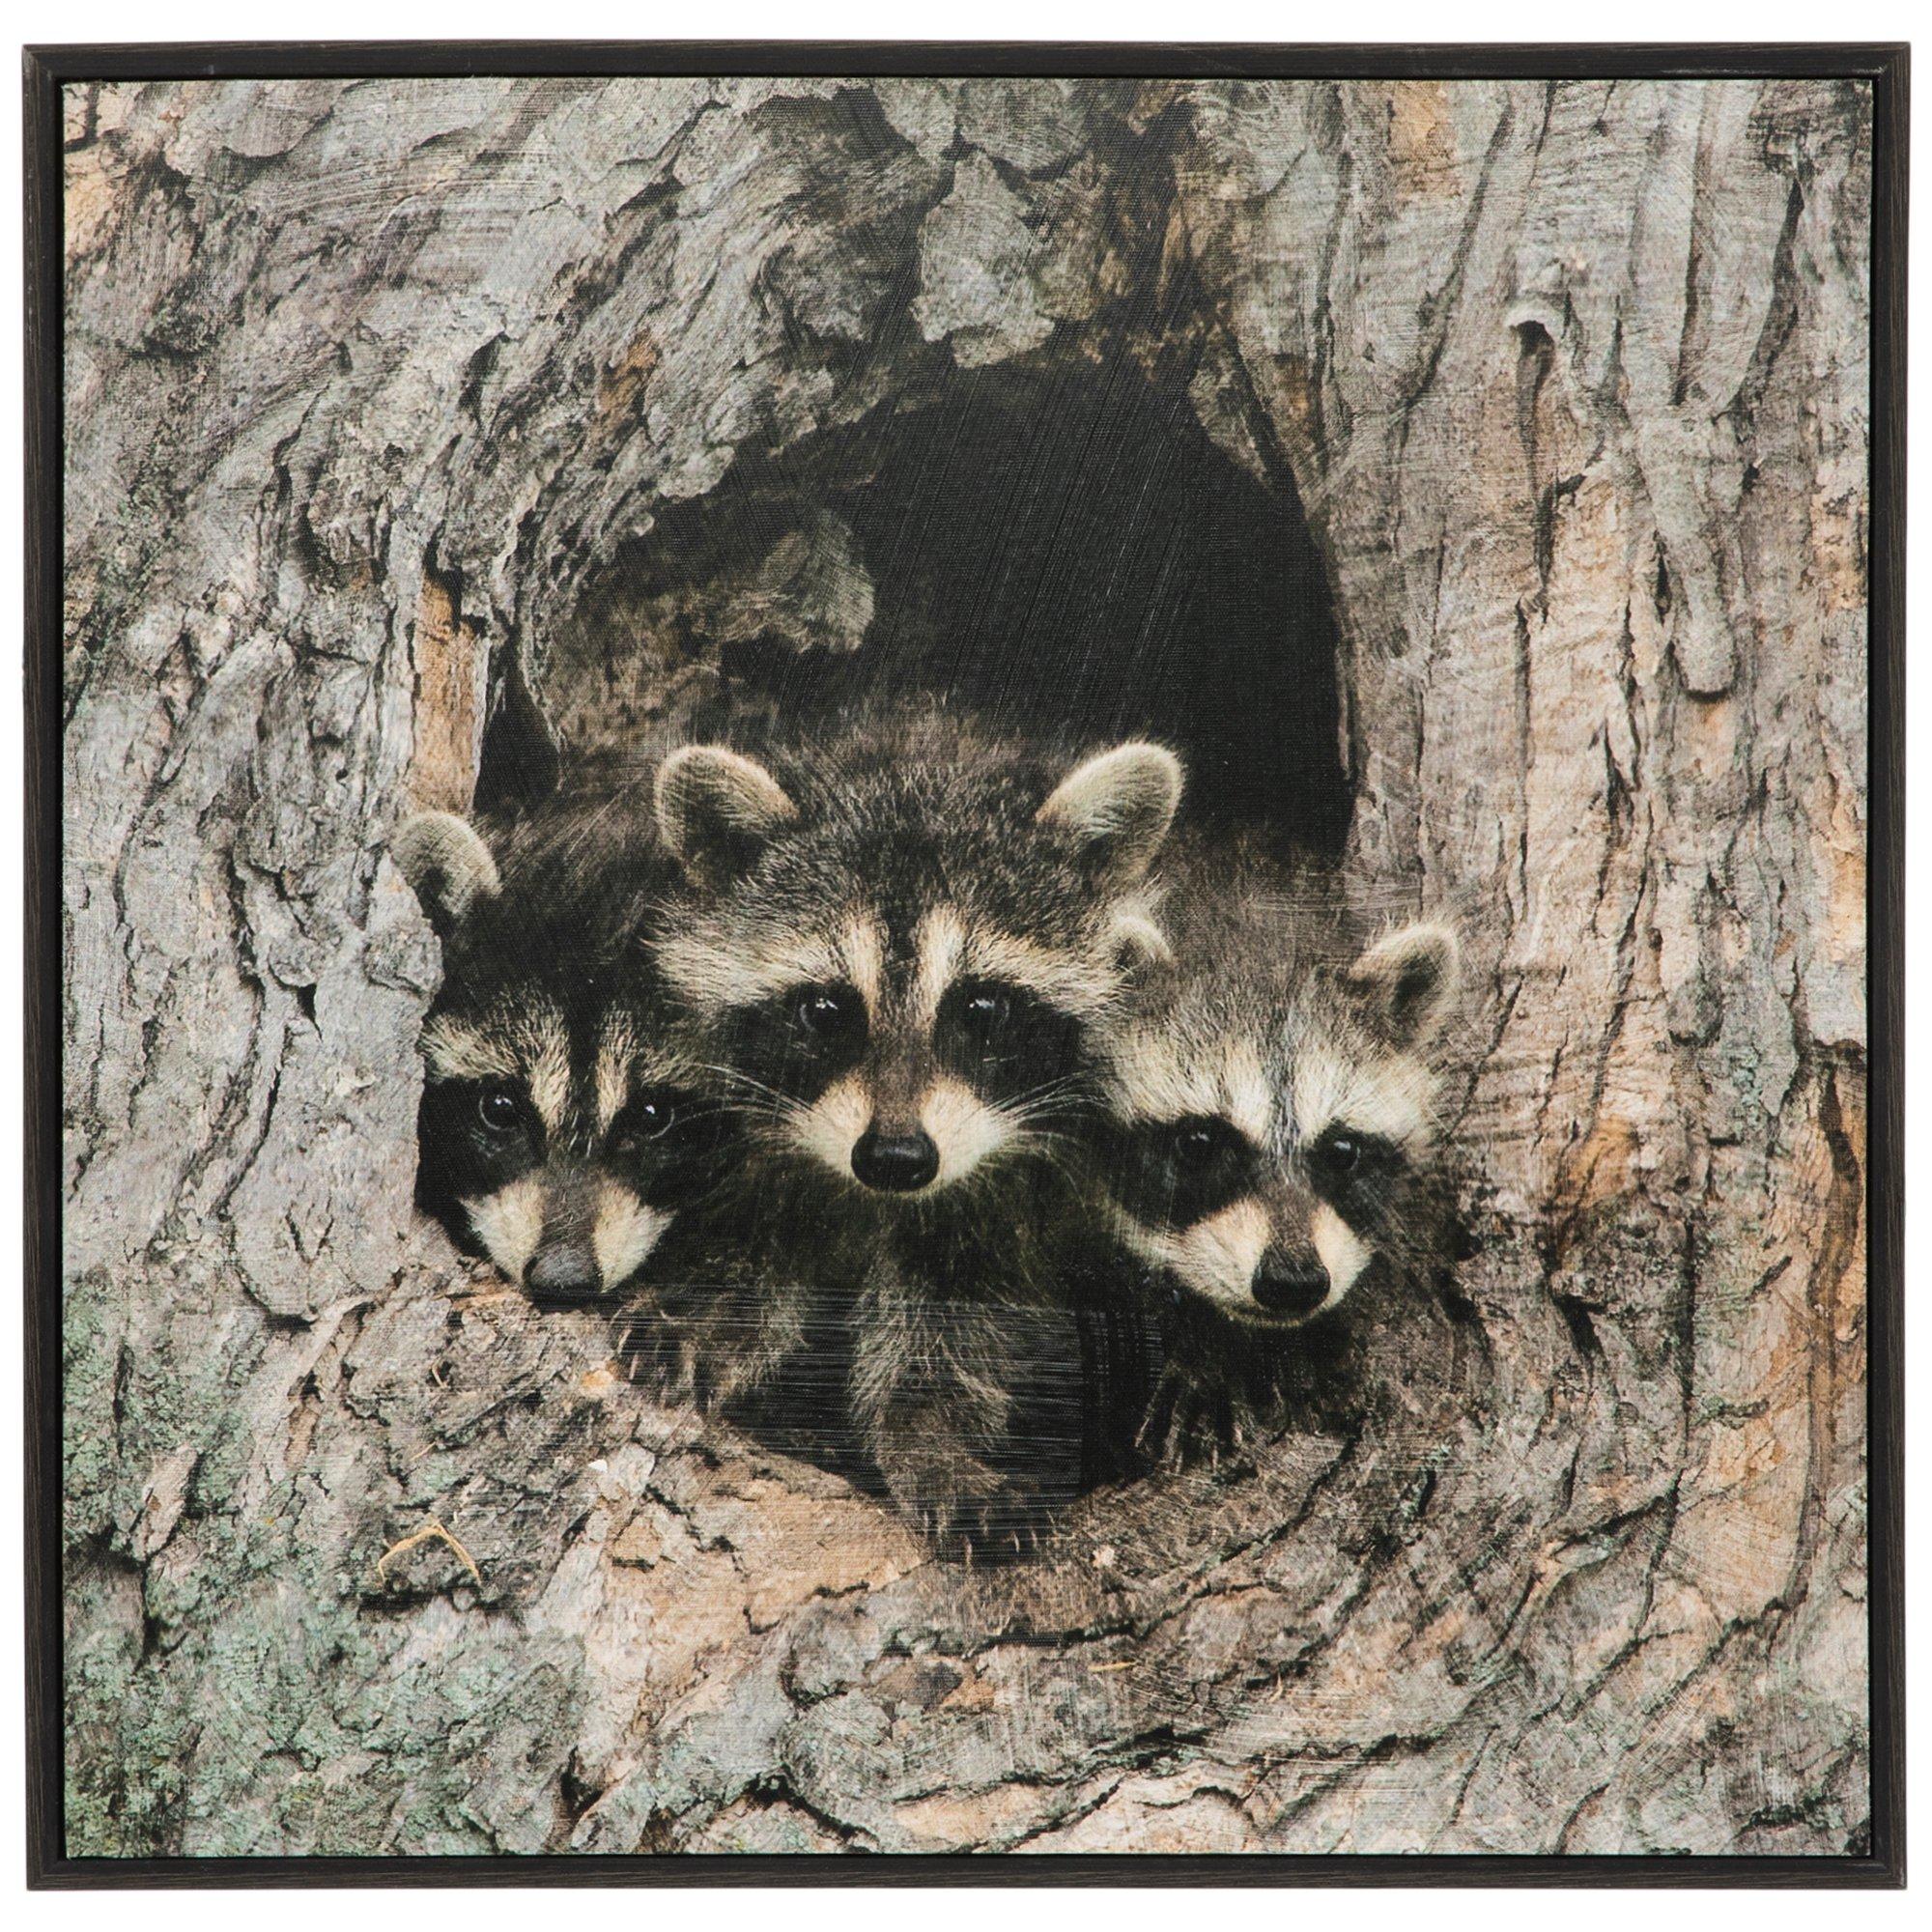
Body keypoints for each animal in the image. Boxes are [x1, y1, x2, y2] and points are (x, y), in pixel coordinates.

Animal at [642, 708, 1182, 1551]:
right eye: (824, 1010)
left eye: (982, 1008)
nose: (895, 1157)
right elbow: (759, 1235)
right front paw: (717, 1312)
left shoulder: (1003, 1200)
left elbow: (952, 1327)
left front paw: (931, 1439)